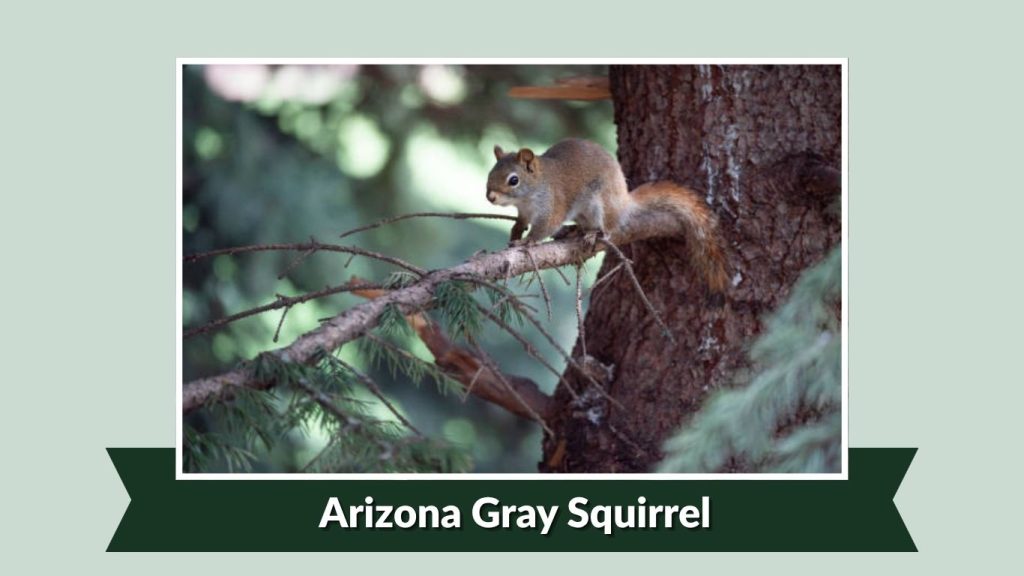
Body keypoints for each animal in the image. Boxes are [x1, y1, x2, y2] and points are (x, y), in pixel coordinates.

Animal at [486, 138, 729, 293]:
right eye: (490, 172)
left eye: (513, 180)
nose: (490, 197)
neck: (528, 196)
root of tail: (623, 203)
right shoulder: (524, 212)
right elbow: (521, 222)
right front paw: (516, 232)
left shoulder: (553, 206)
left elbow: (545, 227)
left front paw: (527, 242)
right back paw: (574, 230)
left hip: (598, 204)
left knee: (608, 229)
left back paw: (592, 234)